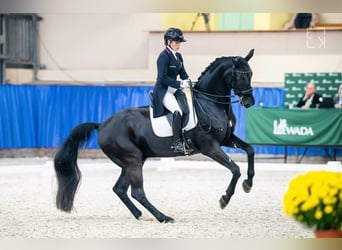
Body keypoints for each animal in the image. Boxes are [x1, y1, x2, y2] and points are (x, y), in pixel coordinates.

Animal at [54, 48, 255, 223]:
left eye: (251, 73)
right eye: (239, 75)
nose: (249, 102)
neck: (210, 103)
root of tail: (102, 124)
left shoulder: (227, 139)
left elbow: (250, 149)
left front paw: (248, 183)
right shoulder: (209, 146)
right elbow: (235, 169)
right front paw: (224, 199)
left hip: (133, 160)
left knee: (120, 189)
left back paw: (141, 215)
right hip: (133, 160)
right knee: (137, 192)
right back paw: (163, 217)